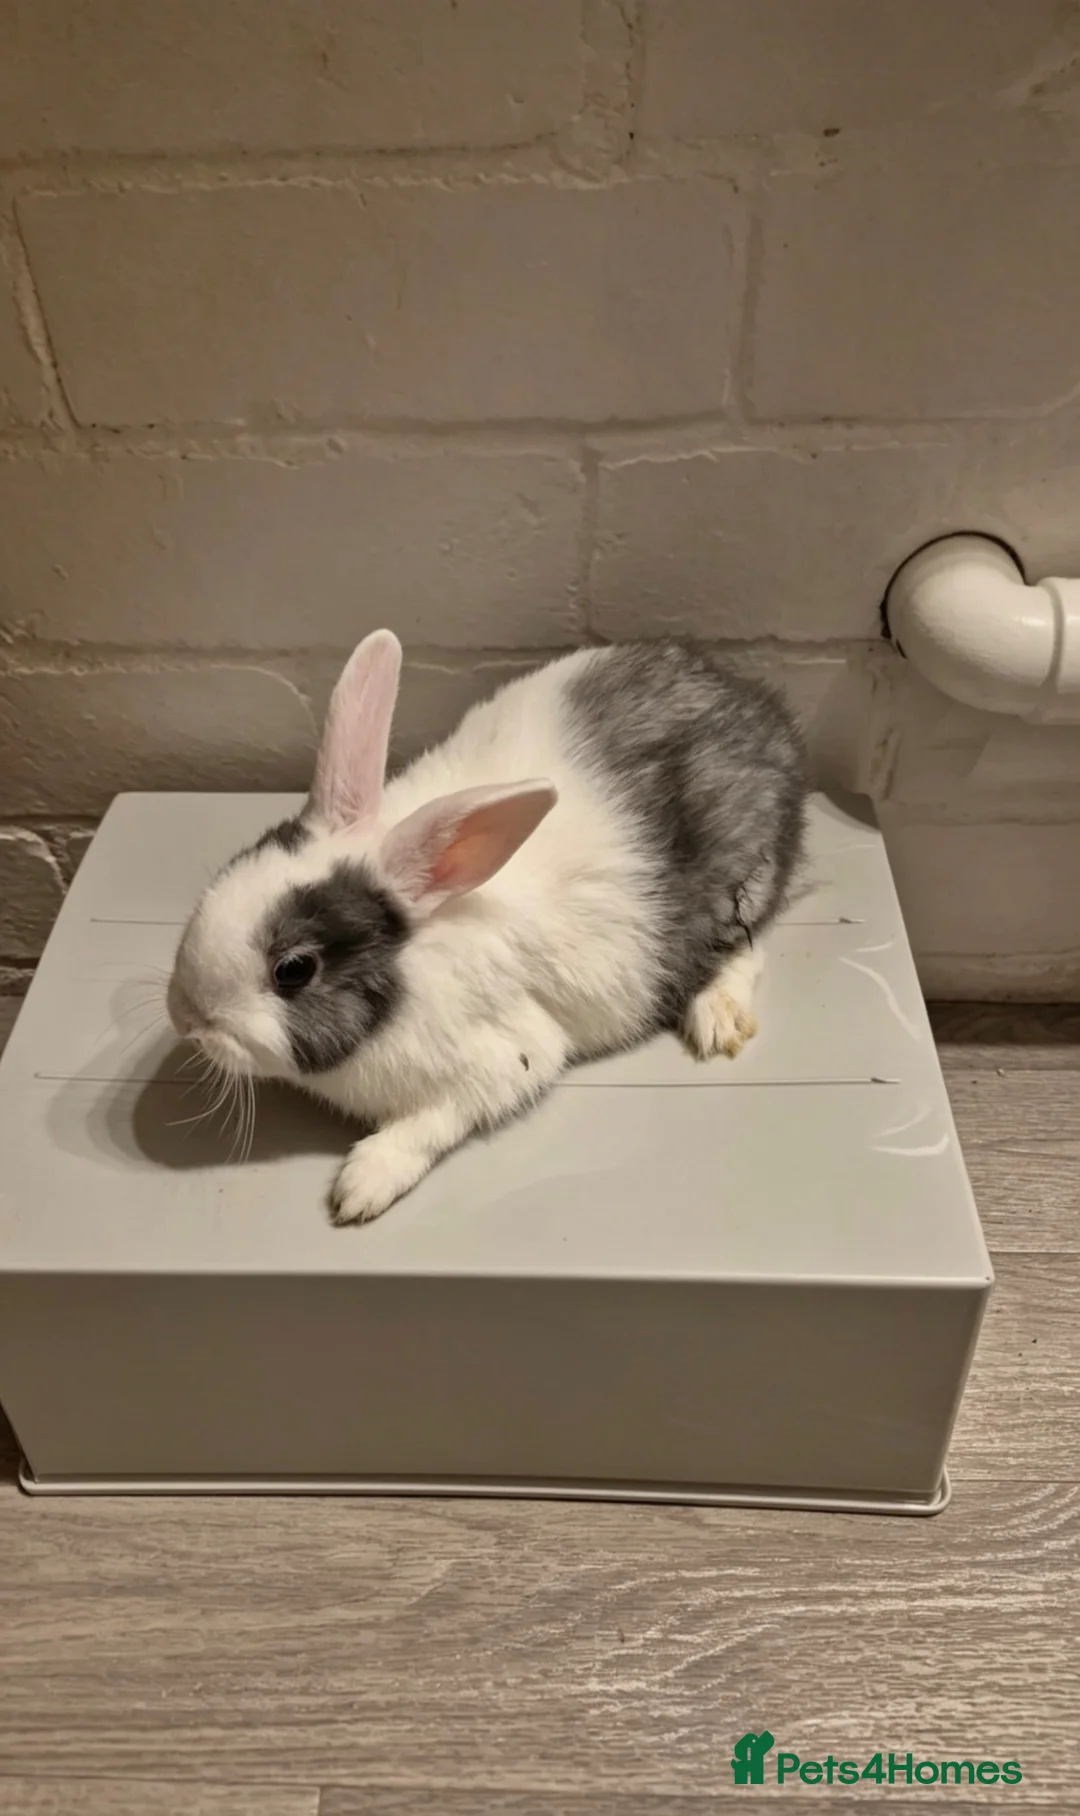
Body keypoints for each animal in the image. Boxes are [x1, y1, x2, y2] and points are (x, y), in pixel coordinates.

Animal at [167, 631, 808, 1225]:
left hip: (738, 886)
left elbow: (434, 1120)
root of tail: (766, 717)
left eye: (294, 970)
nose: (186, 1020)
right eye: (230, 867)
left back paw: (718, 1021)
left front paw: (360, 1187)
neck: (409, 966)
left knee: (745, 948)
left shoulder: (507, 1059)